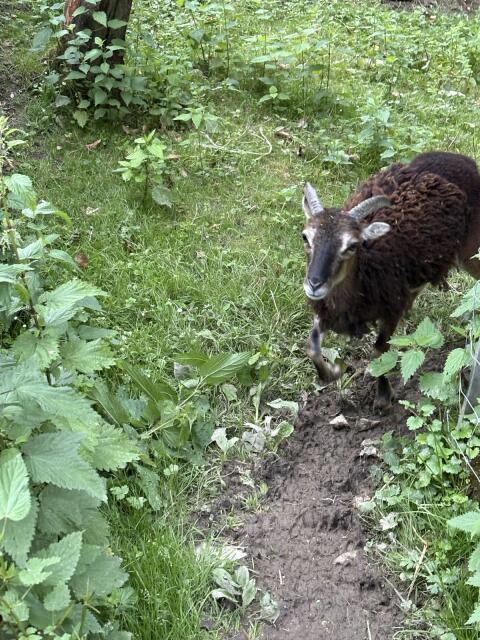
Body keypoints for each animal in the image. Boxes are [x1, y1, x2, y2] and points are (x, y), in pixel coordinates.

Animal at [302, 151, 480, 411]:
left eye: (352, 245)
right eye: (305, 237)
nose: (315, 284)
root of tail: (465, 161)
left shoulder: (391, 309)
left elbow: (379, 350)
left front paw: (383, 398)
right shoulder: (326, 311)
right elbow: (312, 346)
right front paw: (334, 371)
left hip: (471, 251)